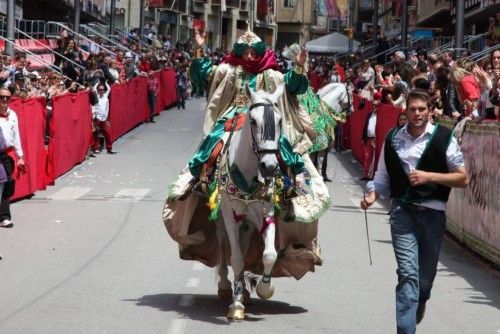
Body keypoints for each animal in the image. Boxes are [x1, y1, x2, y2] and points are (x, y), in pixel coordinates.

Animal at [216, 83, 286, 318]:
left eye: (280, 121)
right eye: (253, 121)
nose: (269, 166)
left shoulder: (266, 212)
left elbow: (269, 254)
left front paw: (265, 288)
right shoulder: (230, 214)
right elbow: (236, 258)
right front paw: (236, 306)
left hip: (247, 223)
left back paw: (244, 293)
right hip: (223, 219)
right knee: (223, 246)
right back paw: (226, 287)